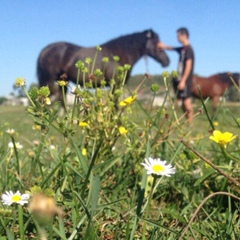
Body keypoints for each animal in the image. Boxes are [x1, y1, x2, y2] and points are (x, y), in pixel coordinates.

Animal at [36, 29, 170, 101]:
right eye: (156, 42)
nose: (167, 61)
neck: (118, 52)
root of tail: (45, 50)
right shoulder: (115, 84)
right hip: (48, 79)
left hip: (63, 80)